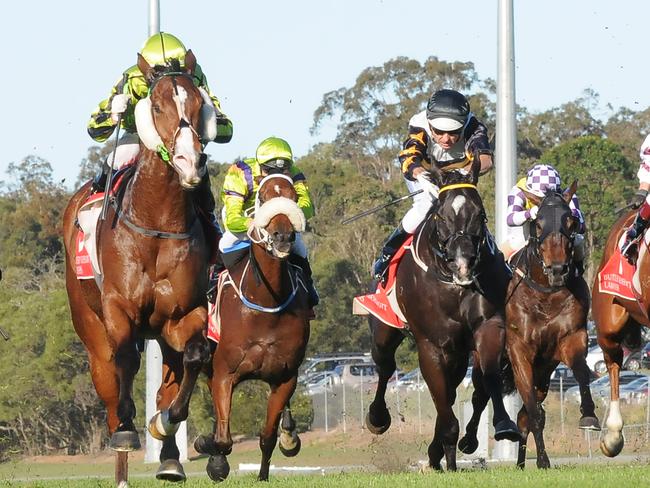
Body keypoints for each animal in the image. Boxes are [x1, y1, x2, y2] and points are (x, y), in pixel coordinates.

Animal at [62, 52, 210, 480]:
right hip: (90, 329)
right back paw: (122, 458)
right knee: (110, 389)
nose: (189, 162)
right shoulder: (118, 308)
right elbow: (126, 358)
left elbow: (194, 358)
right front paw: (129, 429)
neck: (157, 225)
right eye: (156, 106)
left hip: (162, 333)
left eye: (200, 104)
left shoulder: (184, 313)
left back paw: (170, 458)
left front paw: (165, 423)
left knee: (169, 379)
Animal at [192, 173, 312, 482]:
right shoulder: (225, 373)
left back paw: (289, 436)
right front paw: (212, 454)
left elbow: (267, 436)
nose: (283, 236)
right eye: (263, 196)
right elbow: (223, 438)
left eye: (293, 196)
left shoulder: (285, 377)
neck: (267, 301)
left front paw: (263, 475)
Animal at [368, 162, 520, 470]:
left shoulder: (487, 327)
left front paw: (502, 424)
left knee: (452, 391)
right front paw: (448, 454)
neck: (454, 284)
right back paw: (378, 418)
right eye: (441, 215)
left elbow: (488, 378)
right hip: (384, 329)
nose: (463, 263)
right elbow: (440, 397)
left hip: (458, 352)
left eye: (479, 213)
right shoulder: (431, 345)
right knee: (385, 366)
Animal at [456, 184, 596, 468]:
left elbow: (581, 372)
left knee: (521, 416)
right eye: (538, 224)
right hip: (485, 358)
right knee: (481, 395)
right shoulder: (519, 350)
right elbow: (534, 412)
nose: (557, 269)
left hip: (543, 372)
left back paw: (520, 463)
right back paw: (469, 440)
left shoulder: (571, 337)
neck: (546, 295)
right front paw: (543, 460)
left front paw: (589, 415)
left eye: (570, 221)